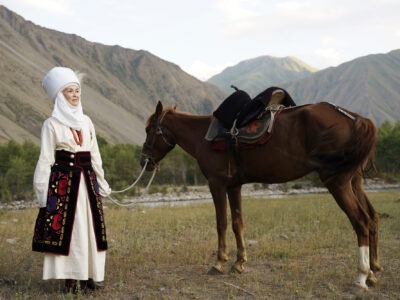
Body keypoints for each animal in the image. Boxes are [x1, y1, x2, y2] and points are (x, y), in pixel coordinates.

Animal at [141, 100, 382, 288]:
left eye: (149, 130)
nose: (144, 160)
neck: (204, 136)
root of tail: (354, 119)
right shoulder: (234, 186)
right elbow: (237, 223)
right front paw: (239, 262)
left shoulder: (216, 184)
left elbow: (221, 223)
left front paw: (219, 262)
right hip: (354, 181)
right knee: (372, 218)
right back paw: (373, 271)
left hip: (337, 182)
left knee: (361, 221)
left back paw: (361, 276)